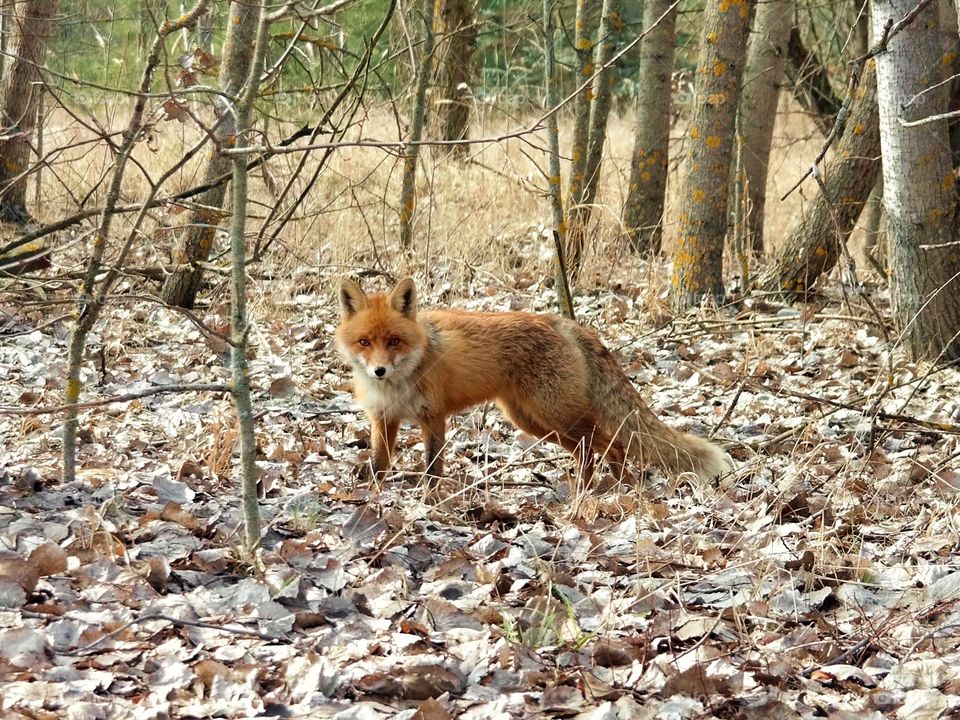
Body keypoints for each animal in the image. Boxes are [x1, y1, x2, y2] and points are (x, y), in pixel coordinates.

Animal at [335, 277, 731, 484]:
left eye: (394, 341)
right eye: (364, 342)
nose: (379, 371)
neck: (397, 384)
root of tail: (562, 322)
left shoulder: (433, 416)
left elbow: (434, 468)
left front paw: (430, 499)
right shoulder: (383, 418)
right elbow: (379, 463)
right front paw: (372, 495)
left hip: (557, 415)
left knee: (614, 444)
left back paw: (613, 489)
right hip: (536, 422)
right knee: (589, 452)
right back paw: (587, 490)